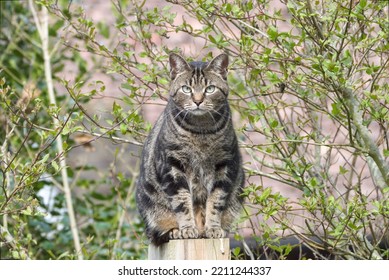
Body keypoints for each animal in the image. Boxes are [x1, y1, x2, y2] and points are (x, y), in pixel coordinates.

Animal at [136, 52, 242, 245]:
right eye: (186, 89)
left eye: (210, 89)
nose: (198, 101)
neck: (201, 131)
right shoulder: (172, 165)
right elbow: (182, 201)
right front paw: (187, 229)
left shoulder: (225, 165)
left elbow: (215, 200)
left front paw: (213, 228)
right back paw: (177, 231)